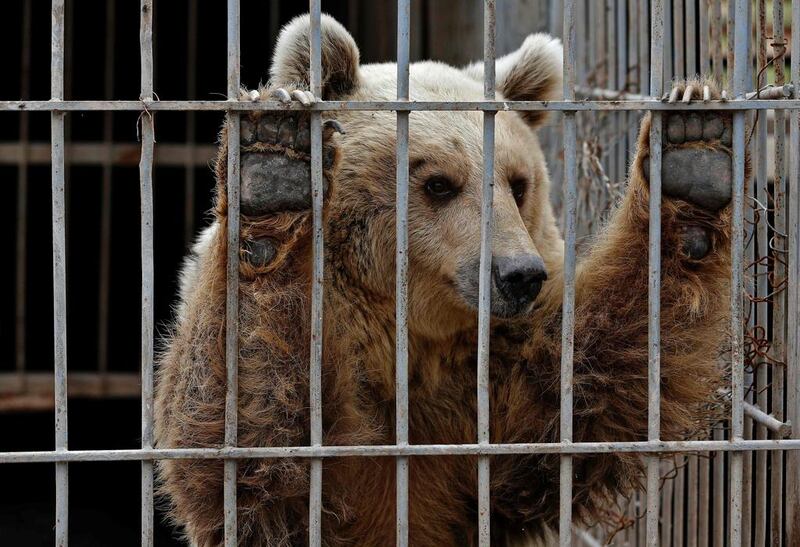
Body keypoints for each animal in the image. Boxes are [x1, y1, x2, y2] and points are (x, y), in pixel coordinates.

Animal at [156, 12, 736, 547]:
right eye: (438, 183)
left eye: (518, 183)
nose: (519, 275)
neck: (409, 347)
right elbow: (257, 438)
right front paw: (275, 167)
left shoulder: (492, 402)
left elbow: (594, 379)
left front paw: (692, 150)